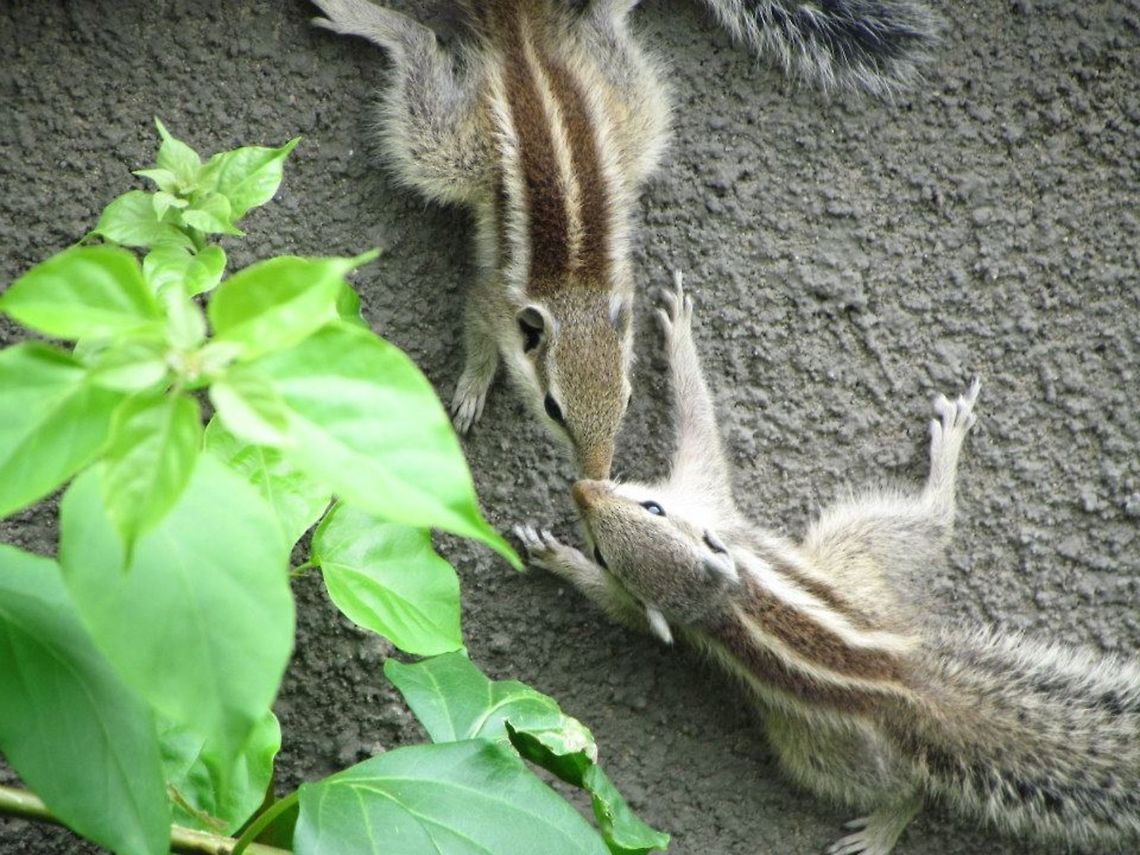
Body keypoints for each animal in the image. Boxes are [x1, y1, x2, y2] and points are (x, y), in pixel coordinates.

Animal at [308, 0, 939, 478]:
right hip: (454, 151)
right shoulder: (492, 298)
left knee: (603, 31)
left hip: (630, 109)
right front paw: (472, 386)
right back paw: (366, 18)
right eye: (553, 409)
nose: (598, 473)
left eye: (628, 399)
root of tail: (527, 48)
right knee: (419, 55)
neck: (574, 289)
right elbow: (478, 331)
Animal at [517, 272, 1140, 855]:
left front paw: (679, 328)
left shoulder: (706, 492)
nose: (581, 490)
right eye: (604, 551)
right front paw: (556, 556)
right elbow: (621, 606)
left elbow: (700, 424)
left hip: (850, 576)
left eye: (653, 508)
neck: (725, 595)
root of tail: (901, 678)